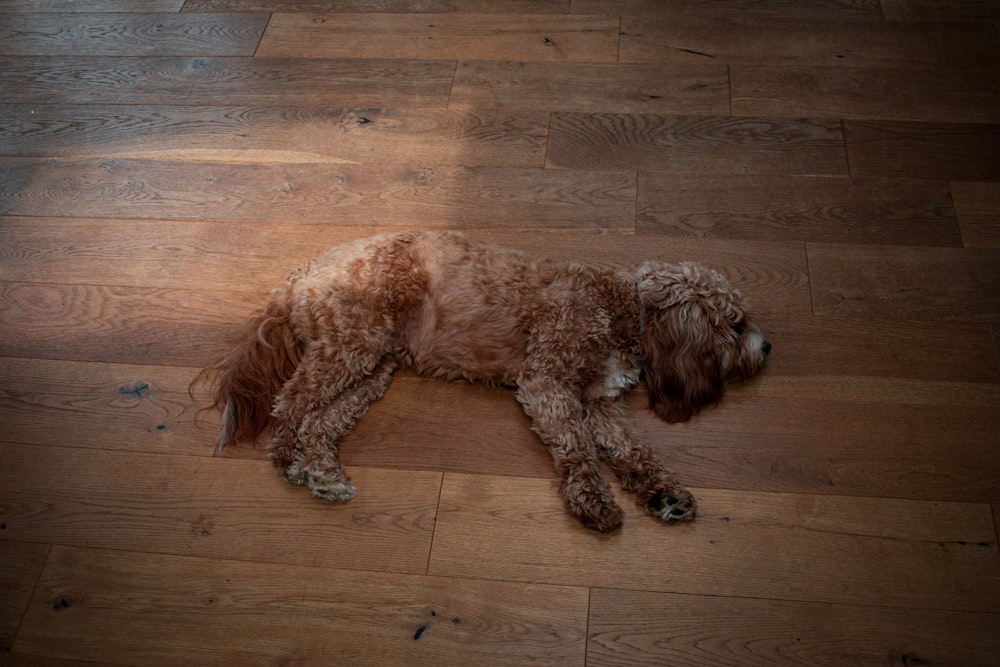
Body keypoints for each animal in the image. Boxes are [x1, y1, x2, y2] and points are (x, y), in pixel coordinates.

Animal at [201, 232, 764, 536]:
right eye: (736, 325)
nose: (768, 348)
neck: (626, 308)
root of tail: (305, 271)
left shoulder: (600, 404)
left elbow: (633, 452)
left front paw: (664, 494)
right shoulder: (548, 383)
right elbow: (579, 452)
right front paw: (595, 502)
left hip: (371, 368)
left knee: (320, 421)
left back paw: (323, 472)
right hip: (350, 349)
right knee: (290, 403)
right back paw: (289, 461)